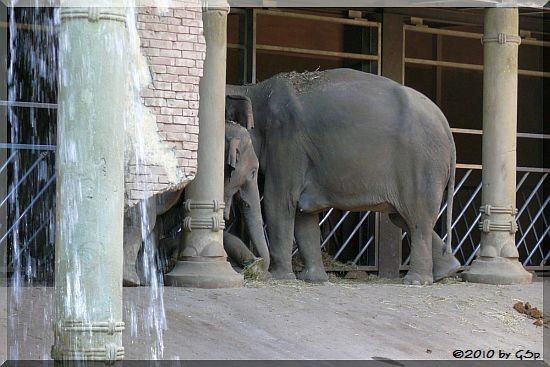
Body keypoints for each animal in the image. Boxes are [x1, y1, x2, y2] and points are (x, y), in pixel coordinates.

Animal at [226, 69, 464, 288]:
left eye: (254, 171)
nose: (254, 266)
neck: (252, 90)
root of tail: (446, 127)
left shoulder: (286, 141)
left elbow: (279, 201)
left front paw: (281, 277)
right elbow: (304, 216)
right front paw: (314, 280)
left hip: (422, 164)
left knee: (417, 218)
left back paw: (416, 281)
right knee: (402, 217)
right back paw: (446, 271)